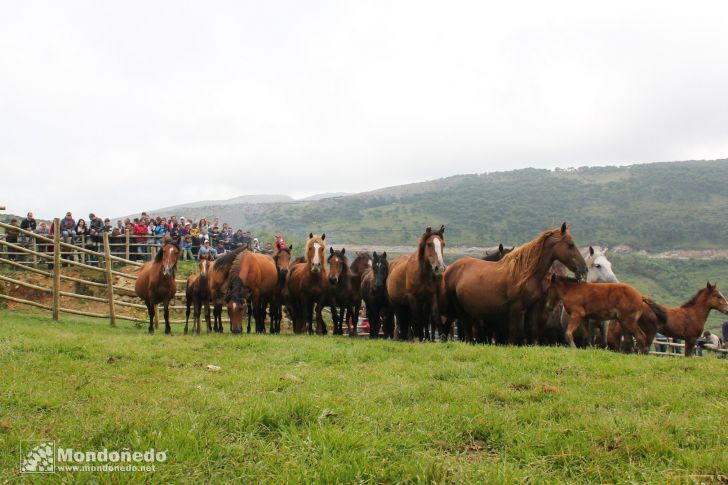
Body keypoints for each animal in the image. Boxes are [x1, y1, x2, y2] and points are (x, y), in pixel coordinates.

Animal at [440, 223, 588, 344]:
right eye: (571, 244)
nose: (584, 269)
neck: (526, 274)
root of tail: (450, 268)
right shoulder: (516, 308)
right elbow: (514, 332)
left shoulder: (532, 308)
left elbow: (532, 331)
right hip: (460, 311)